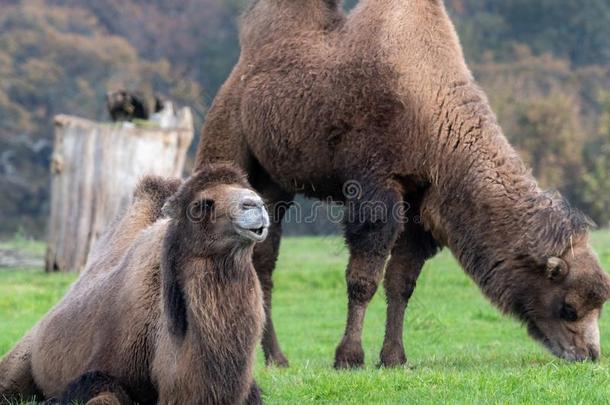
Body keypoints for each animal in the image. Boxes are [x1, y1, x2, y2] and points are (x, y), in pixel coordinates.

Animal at [195, 0, 608, 368]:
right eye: (569, 307)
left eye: (598, 305)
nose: (590, 355)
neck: (430, 113)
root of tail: (241, 70)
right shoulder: (375, 184)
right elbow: (363, 278)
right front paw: (349, 357)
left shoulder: (422, 203)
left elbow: (401, 282)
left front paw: (393, 357)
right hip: (227, 140)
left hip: (275, 184)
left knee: (262, 259)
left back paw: (275, 358)